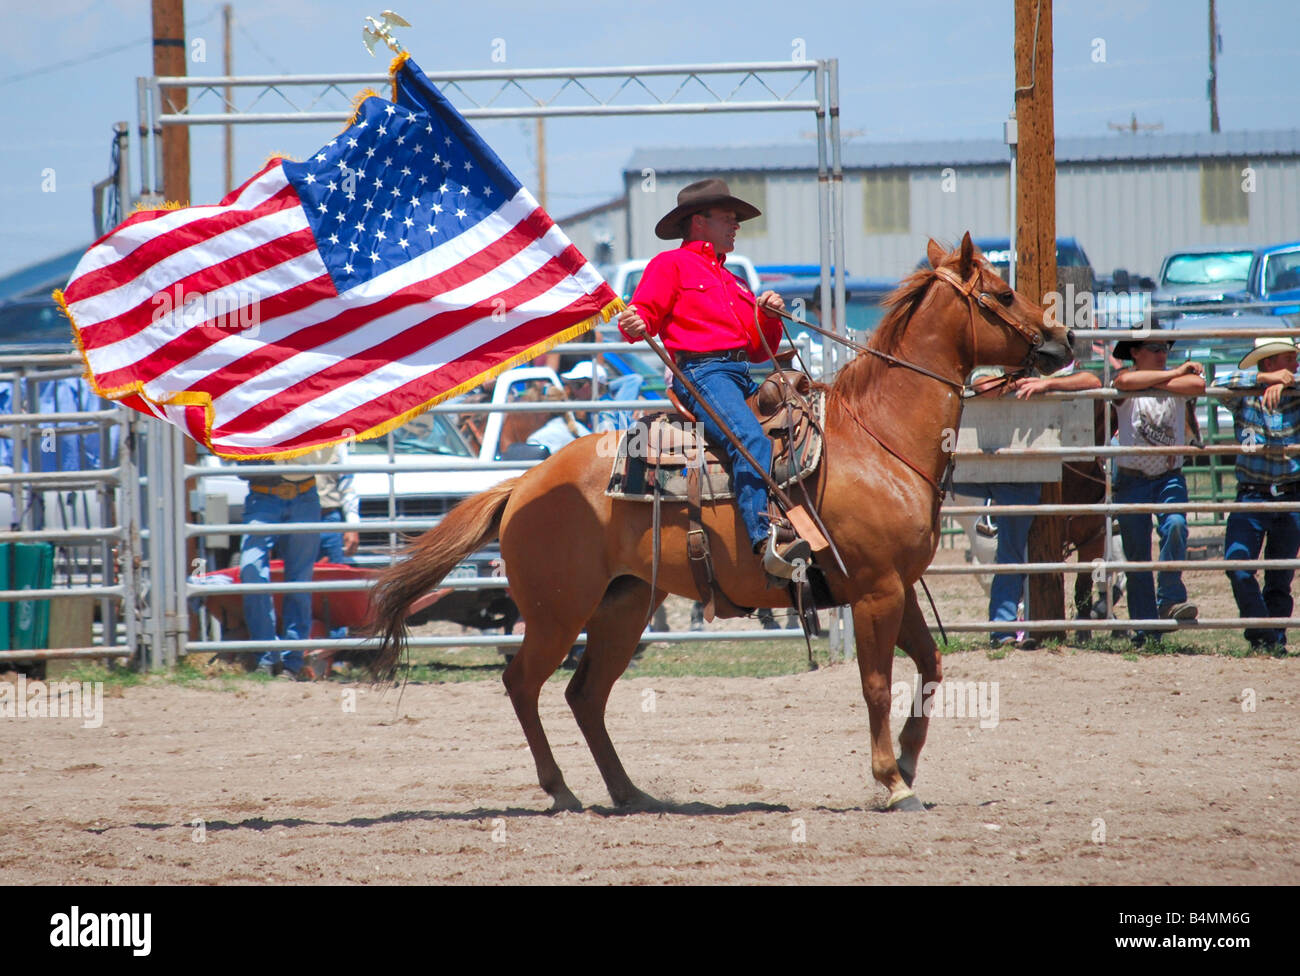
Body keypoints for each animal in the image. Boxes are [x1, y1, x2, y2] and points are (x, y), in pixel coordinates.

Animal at [369, 235, 1076, 810]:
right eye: (1003, 292)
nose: (1065, 341)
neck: (878, 440)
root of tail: (523, 484)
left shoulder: (894, 588)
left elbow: (930, 670)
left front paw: (904, 758)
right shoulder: (875, 590)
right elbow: (877, 683)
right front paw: (892, 782)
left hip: (624, 605)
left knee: (586, 696)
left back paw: (630, 792)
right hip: (557, 611)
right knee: (522, 684)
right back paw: (562, 789)